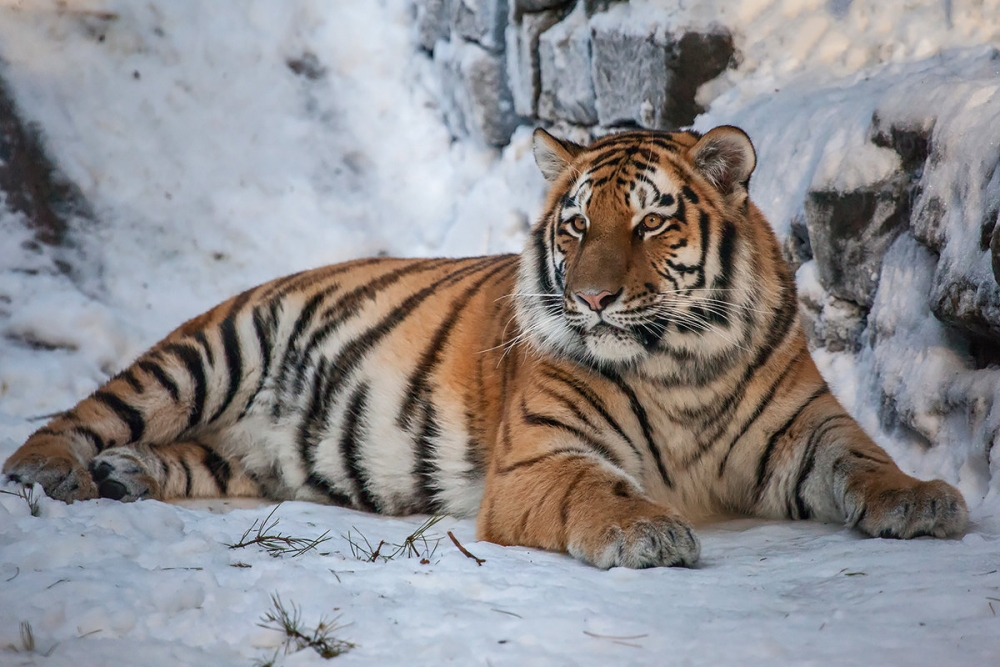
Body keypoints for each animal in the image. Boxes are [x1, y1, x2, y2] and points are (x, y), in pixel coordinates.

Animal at [1, 125, 968, 568]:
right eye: (576, 226)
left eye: (651, 221)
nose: (593, 297)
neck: (680, 362)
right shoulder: (541, 457)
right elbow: (598, 489)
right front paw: (648, 529)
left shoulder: (807, 429)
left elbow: (866, 461)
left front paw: (923, 500)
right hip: (208, 351)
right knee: (84, 413)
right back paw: (53, 470)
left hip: (253, 454)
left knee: (197, 458)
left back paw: (129, 473)